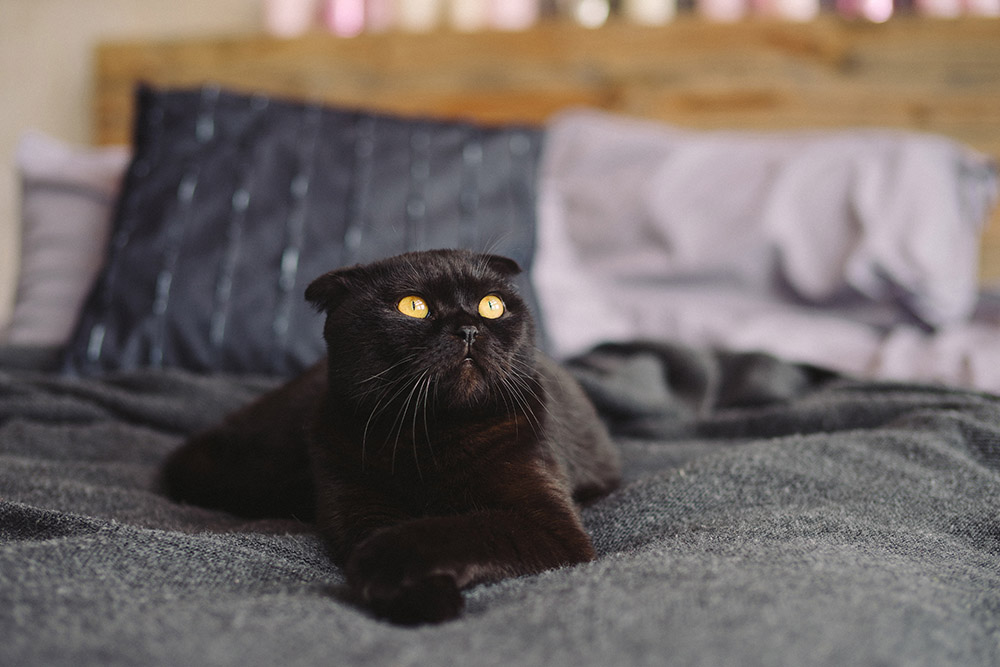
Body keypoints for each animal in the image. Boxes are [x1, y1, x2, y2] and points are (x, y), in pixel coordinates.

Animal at [162, 249, 616, 628]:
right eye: (413, 307)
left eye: (492, 305)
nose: (469, 329)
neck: (429, 436)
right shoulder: (357, 504)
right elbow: (403, 530)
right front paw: (421, 599)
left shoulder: (549, 522)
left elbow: (458, 527)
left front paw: (385, 567)